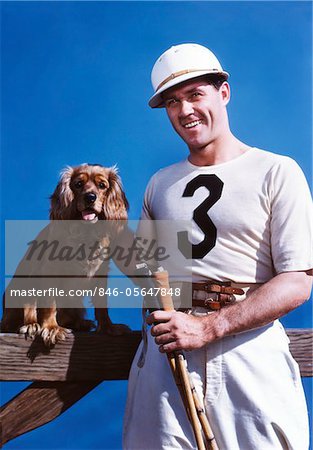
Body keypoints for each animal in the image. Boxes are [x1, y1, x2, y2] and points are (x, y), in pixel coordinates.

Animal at [1, 163, 130, 346]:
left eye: (102, 185)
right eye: (78, 184)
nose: (90, 197)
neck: (86, 233)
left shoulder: (101, 272)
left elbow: (101, 305)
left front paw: (108, 327)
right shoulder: (49, 270)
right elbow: (50, 303)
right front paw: (51, 328)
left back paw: (81, 323)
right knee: (24, 312)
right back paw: (31, 324)